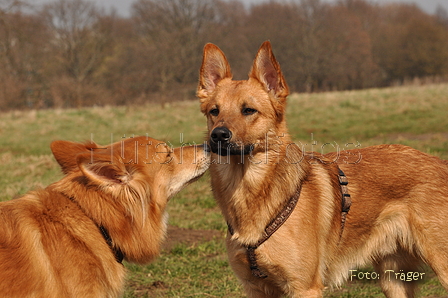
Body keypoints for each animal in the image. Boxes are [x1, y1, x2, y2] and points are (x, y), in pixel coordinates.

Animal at [198, 40, 448, 296]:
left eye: (248, 110)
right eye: (214, 111)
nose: (218, 135)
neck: (248, 190)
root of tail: (440, 162)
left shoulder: (305, 288)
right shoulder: (256, 289)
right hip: (393, 280)